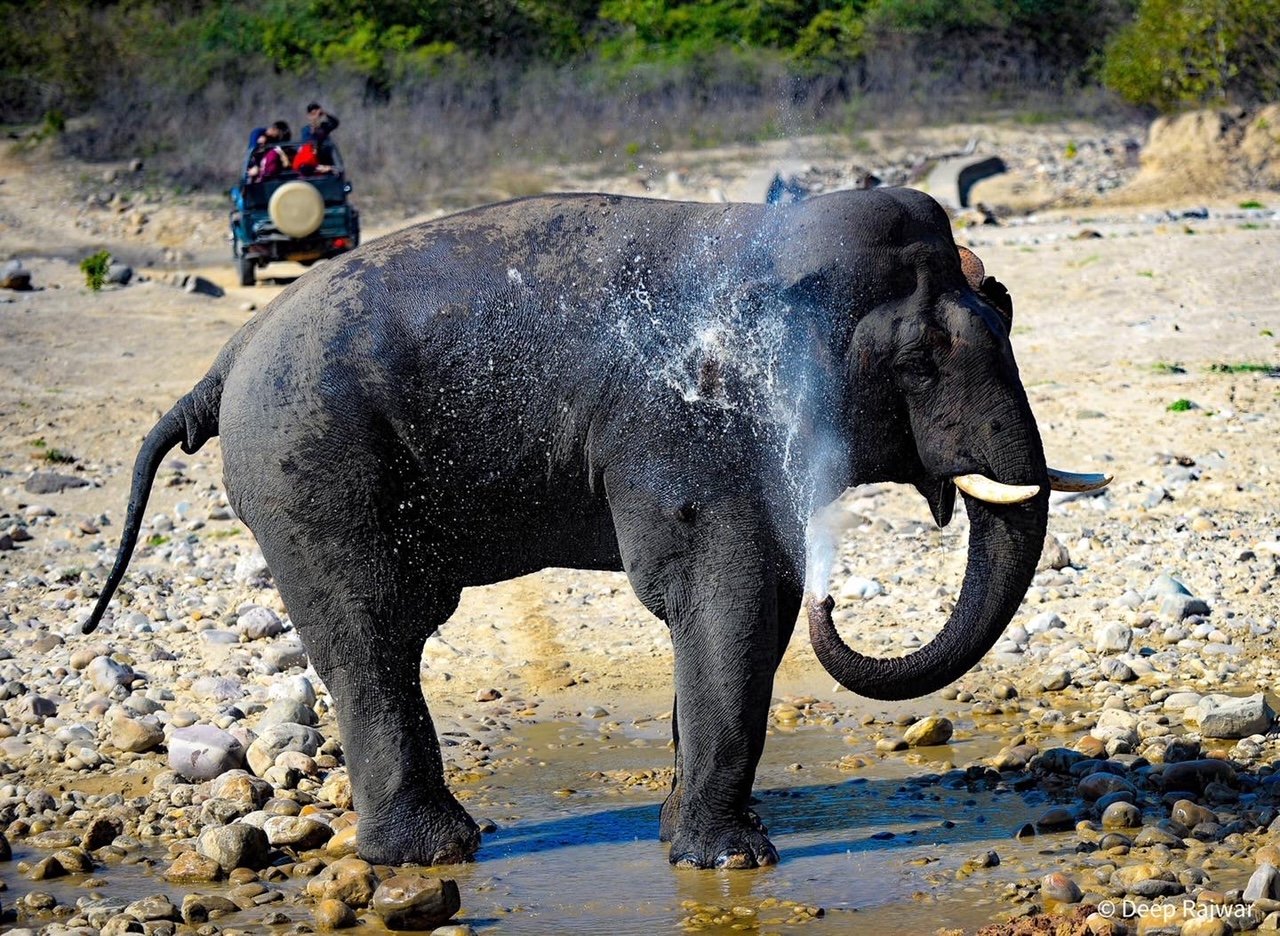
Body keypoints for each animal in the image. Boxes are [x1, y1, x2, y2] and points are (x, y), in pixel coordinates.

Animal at [85, 186, 1108, 870]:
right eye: (925, 360)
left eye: (1005, 306)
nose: (839, 603)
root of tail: (223, 361)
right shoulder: (694, 431)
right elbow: (731, 597)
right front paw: (732, 863)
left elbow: (752, 608)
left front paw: (689, 841)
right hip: (310, 467)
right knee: (370, 633)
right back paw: (434, 857)